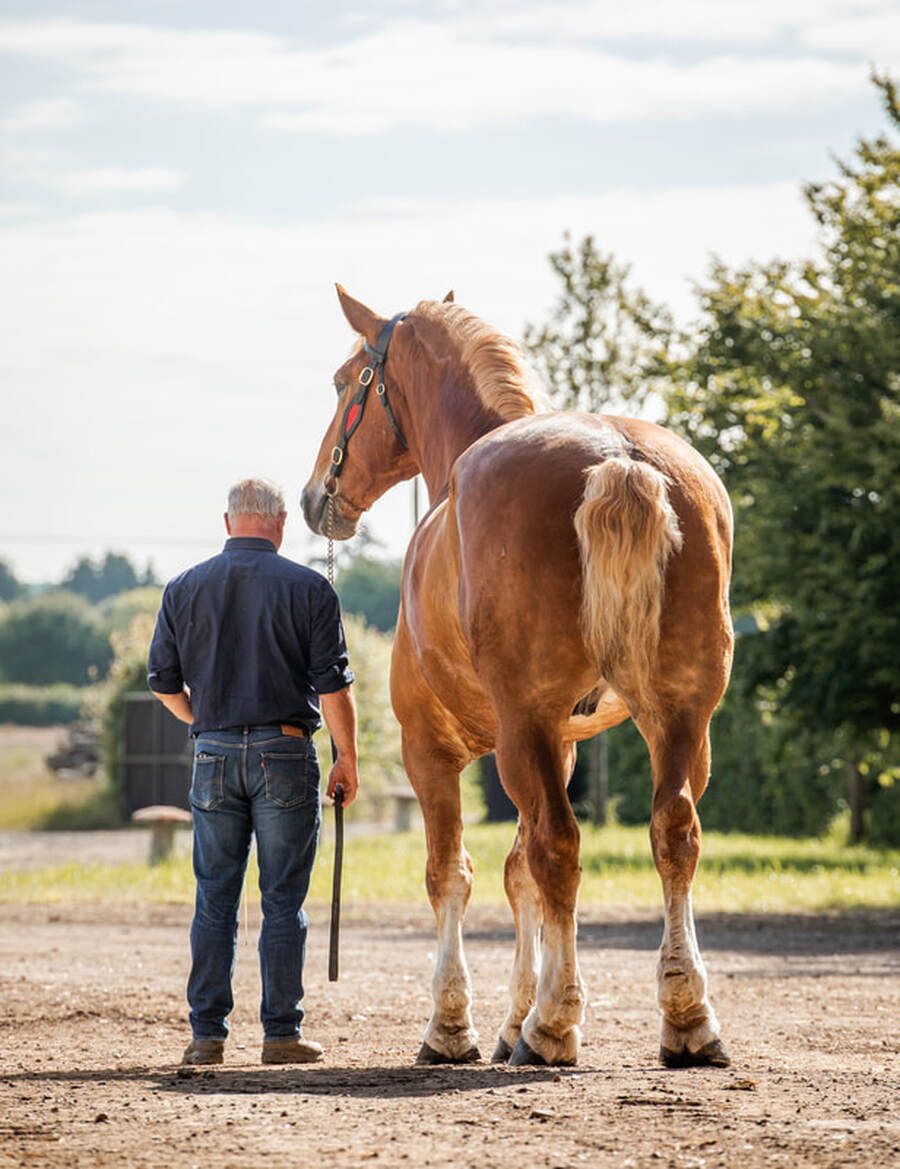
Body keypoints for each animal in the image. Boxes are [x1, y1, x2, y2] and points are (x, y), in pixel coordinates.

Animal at [301, 286, 734, 1069]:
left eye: (347, 382)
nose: (316, 495)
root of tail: (619, 460)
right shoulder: (556, 743)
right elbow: (517, 874)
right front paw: (510, 1017)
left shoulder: (434, 748)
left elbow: (453, 871)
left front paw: (453, 1026)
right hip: (682, 717)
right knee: (673, 833)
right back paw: (686, 1018)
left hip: (527, 728)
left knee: (559, 844)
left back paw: (555, 1025)